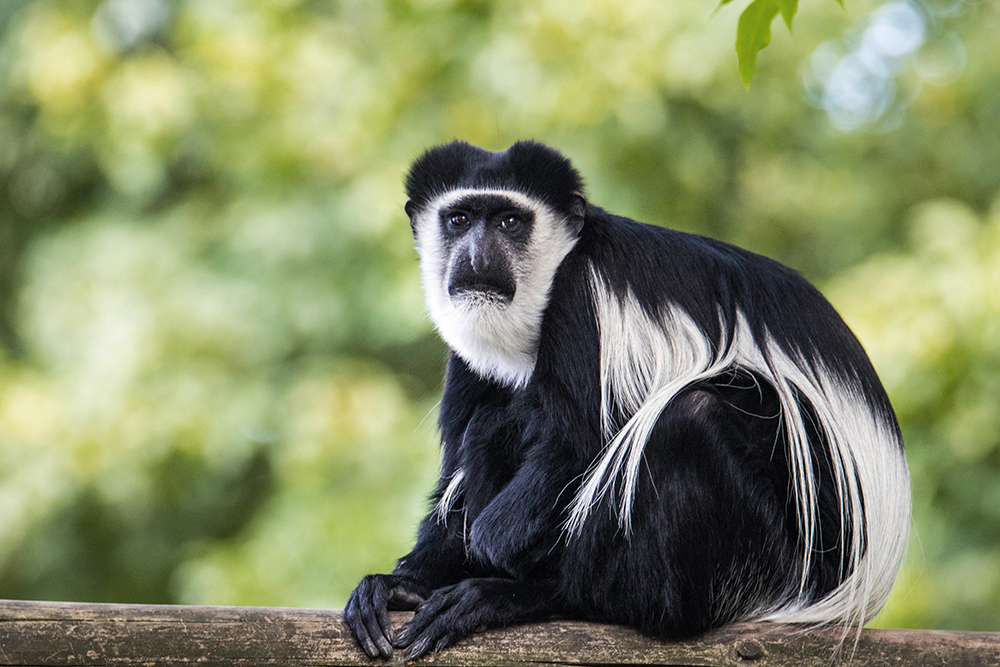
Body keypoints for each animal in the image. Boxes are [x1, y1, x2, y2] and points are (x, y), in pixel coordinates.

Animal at [346, 141, 916, 664]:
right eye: (459, 219)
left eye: (510, 221)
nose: (476, 257)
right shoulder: (468, 353)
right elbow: (455, 476)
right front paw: (403, 584)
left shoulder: (585, 293)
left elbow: (577, 442)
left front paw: (489, 558)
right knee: (490, 423)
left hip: (770, 563)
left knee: (687, 421)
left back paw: (539, 595)